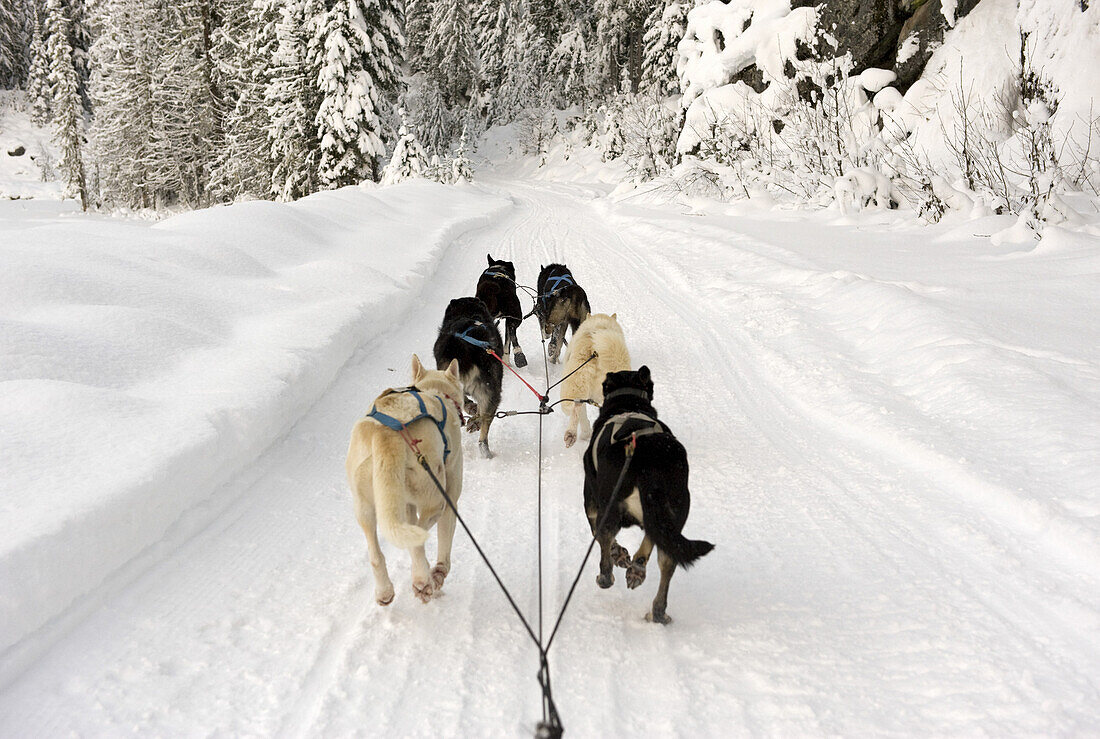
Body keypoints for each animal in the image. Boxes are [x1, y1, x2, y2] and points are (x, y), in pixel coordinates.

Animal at [343, 356, 464, 607]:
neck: (433, 391)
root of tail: (387, 434)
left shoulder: (406, 505)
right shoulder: (451, 496)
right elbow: (444, 547)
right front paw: (439, 572)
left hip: (365, 505)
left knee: (377, 553)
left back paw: (385, 591)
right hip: (435, 498)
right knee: (417, 539)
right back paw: (422, 580)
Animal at [585, 365, 712, 624]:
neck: (628, 404)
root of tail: (649, 453)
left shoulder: (592, 503)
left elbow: (599, 535)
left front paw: (618, 554)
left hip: (610, 505)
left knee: (606, 540)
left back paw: (607, 575)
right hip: (674, 510)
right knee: (665, 555)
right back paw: (654, 602)